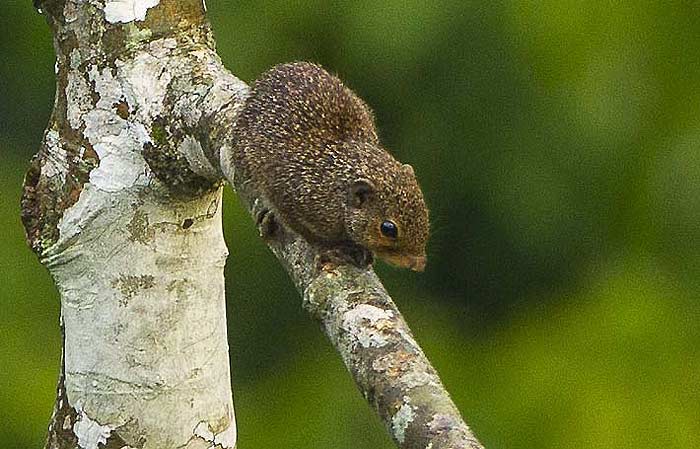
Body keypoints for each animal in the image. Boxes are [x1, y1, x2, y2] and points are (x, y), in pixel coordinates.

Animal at [231, 61, 426, 272]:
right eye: (388, 229)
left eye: (425, 212)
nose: (419, 263)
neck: (335, 190)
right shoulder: (287, 194)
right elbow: (304, 231)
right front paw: (328, 249)